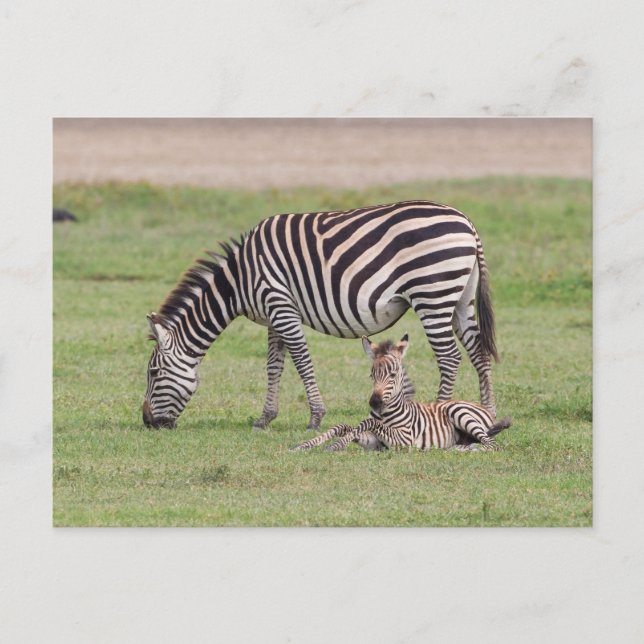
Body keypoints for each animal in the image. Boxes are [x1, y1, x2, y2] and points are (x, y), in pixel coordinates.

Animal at [142, 200, 499, 430]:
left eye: (153, 373)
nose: (146, 422)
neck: (239, 281)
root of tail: (466, 222)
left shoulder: (280, 306)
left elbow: (301, 361)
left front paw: (315, 417)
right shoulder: (274, 317)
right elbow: (274, 366)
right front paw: (265, 418)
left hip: (432, 294)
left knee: (449, 357)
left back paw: (441, 412)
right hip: (459, 299)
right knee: (478, 352)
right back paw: (489, 413)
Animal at [291, 334, 512, 452]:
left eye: (393, 375)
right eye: (372, 375)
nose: (374, 403)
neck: (386, 413)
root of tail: (483, 408)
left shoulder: (404, 440)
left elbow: (367, 422)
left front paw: (335, 445)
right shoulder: (375, 443)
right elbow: (344, 426)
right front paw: (306, 445)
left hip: (460, 413)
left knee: (493, 445)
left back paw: (465, 450)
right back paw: (457, 447)